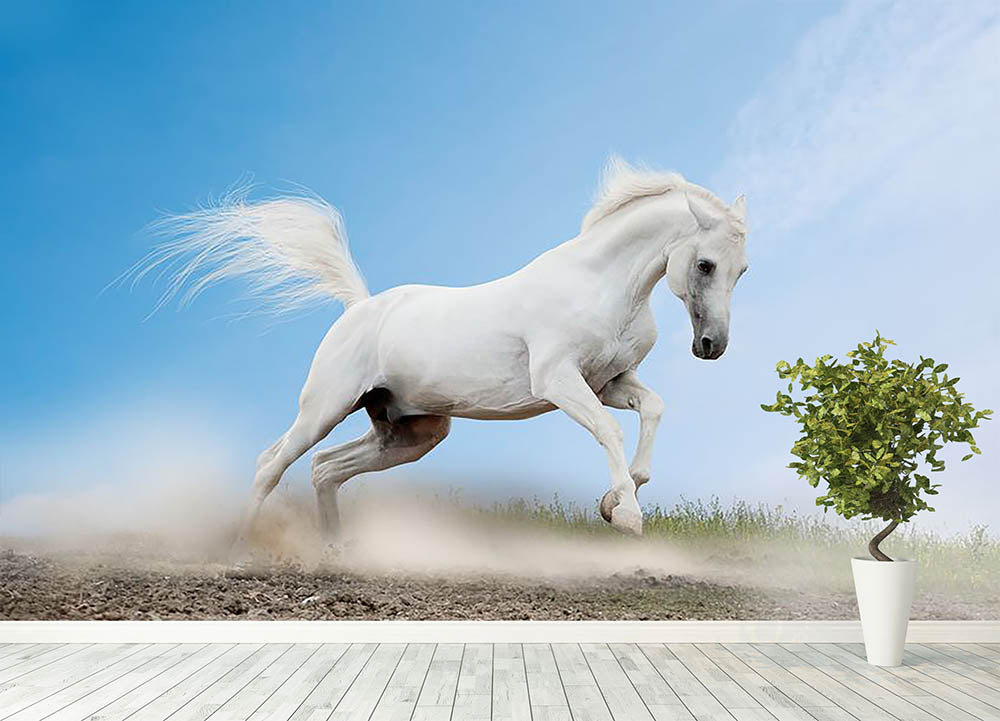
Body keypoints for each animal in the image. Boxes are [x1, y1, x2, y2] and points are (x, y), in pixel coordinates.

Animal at [134, 157, 748, 548]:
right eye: (705, 265)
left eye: (742, 270)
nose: (711, 347)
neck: (601, 286)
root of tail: (359, 306)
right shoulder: (559, 381)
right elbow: (610, 430)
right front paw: (627, 517)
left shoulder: (611, 381)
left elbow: (653, 409)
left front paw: (616, 499)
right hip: (324, 408)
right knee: (273, 463)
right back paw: (239, 547)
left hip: (410, 431)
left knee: (325, 470)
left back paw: (336, 555)